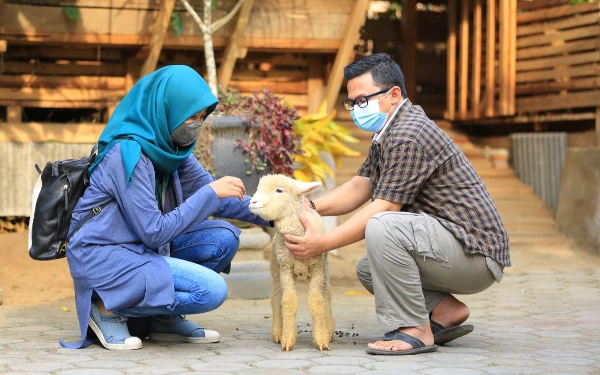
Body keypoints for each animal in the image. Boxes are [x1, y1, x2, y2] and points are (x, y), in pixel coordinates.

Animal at [247, 175, 336, 352]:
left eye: (279, 190)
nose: (252, 202)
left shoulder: (317, 269)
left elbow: (317, 301)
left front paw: (321, 339)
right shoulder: (286, 268)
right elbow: (288, 301)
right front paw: (287, 339)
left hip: (325, 267)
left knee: (326, 294)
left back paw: (329, 329)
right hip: (275, 268)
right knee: (276, 296)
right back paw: (277, 333)